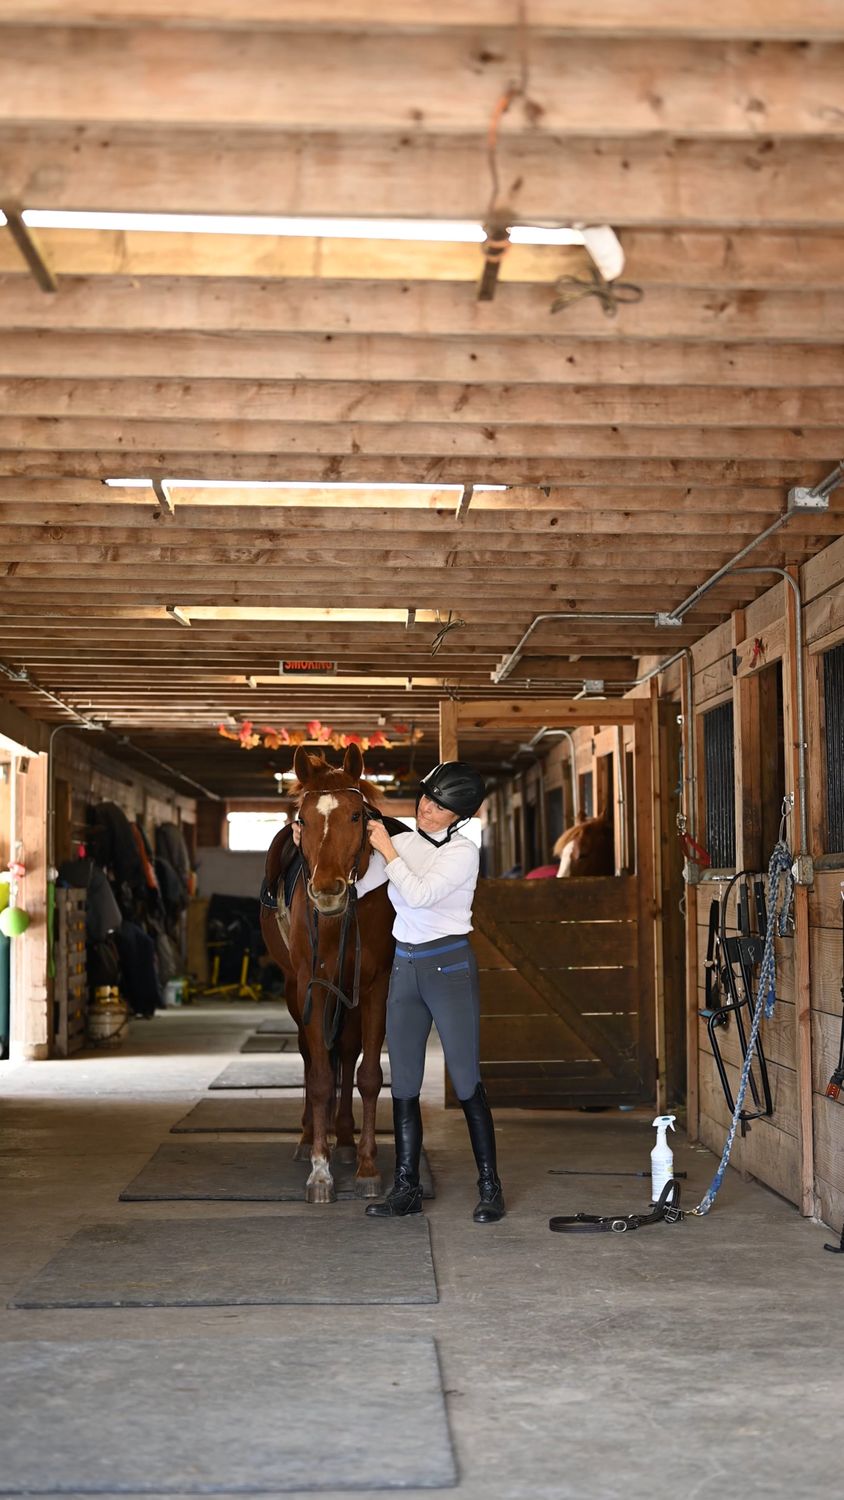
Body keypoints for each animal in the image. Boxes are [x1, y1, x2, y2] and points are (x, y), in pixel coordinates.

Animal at [259, 743, 395, 1203]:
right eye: (303, 819)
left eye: (356, 815)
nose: (327, 891)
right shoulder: (312, 986)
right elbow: (319, 1076)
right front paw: (320, 1171)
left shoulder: (374, 986)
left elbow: (368, 1075)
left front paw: (369, 1166)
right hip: (293, 989)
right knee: (309, 1054)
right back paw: (307, 1140)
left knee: (348, 1053)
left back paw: (348, 1141)